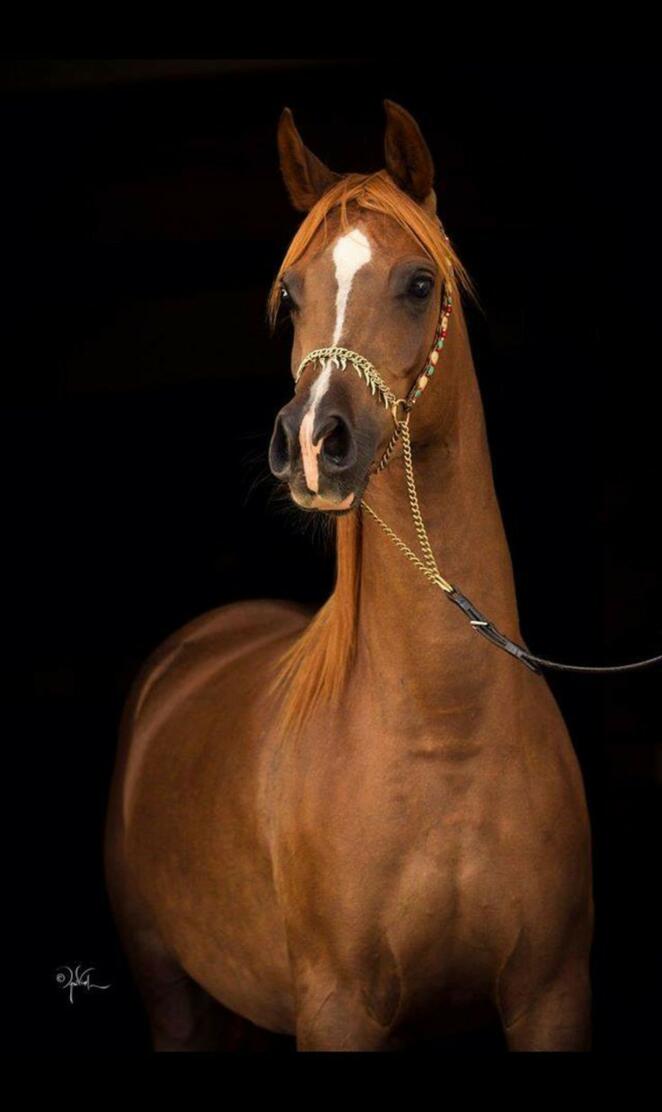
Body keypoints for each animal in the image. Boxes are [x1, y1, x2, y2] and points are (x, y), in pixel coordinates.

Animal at [104, 100, 593, 1052]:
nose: (310, 440)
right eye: (291, 294)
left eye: (418, 283)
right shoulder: (338, 1009)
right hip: (170, 991)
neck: (445, 732)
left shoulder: (551, 998)